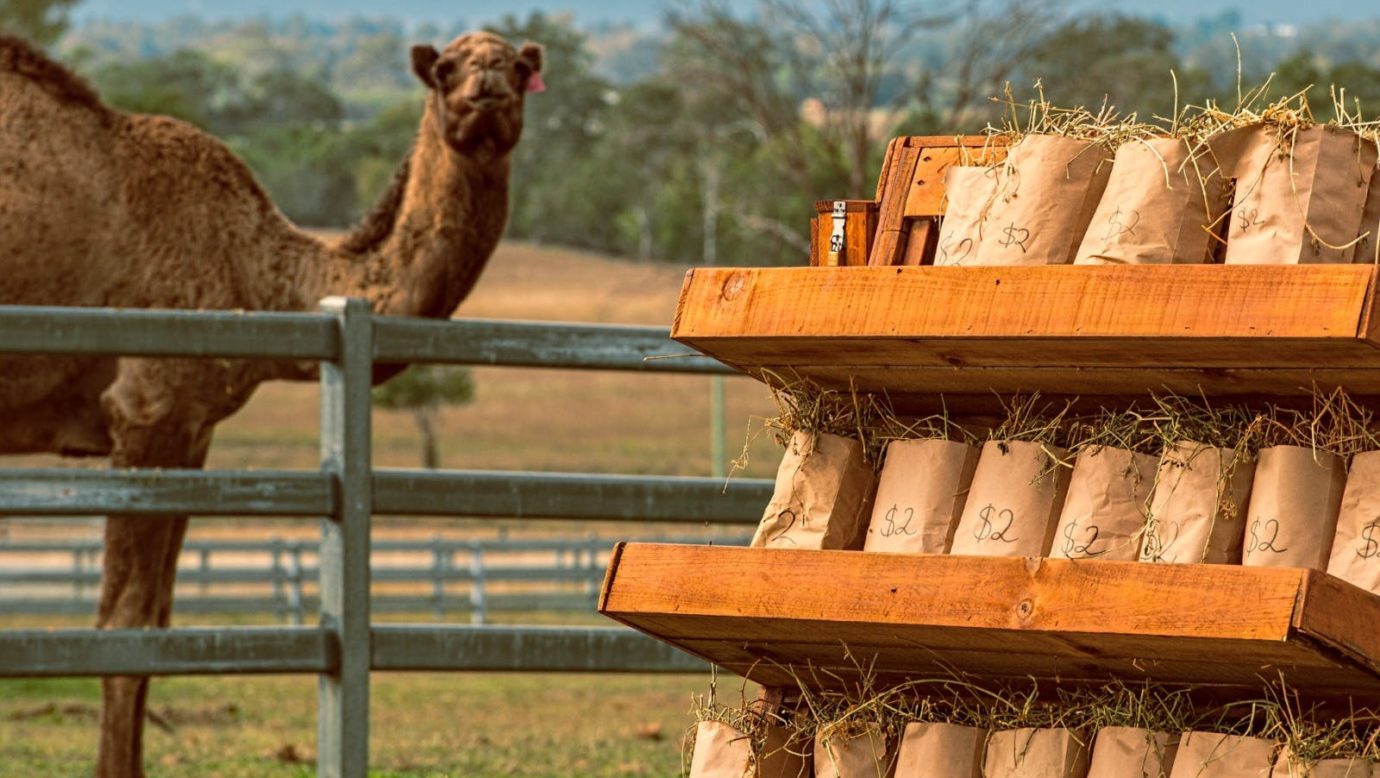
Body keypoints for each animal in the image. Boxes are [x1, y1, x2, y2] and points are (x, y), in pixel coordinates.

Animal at [0, 30, 543, 778]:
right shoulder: (147, 410)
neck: (258, 270)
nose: (487, 79)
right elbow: (125, 624)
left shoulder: (193, 432)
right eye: (445, 68)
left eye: (518, 66)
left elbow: (160, 621)